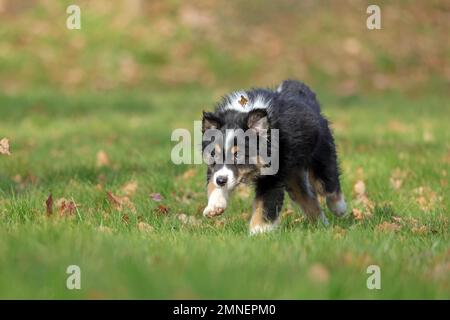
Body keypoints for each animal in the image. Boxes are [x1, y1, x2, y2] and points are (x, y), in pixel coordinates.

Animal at [202, 80, 346, 235]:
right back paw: (321, 224)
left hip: (321, 157)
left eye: (238, 155)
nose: (221, 181)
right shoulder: (214, 170)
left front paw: (258, 231)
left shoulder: (272, 176)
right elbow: (212, 181)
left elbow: (266, 202)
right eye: (214, 154)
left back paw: (340, 208)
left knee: (328, 186)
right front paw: (214, 206)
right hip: (294, 176)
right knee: (307, 197)